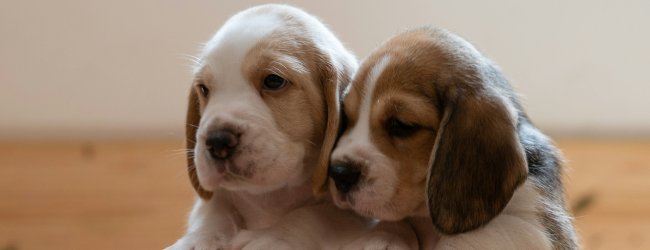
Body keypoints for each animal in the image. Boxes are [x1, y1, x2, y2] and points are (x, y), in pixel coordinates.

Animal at [165, 4, 356, 250]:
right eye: (204, 89)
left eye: (274, 81)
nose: (217, 140)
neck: (268, 199)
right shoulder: (217, 202)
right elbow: (215, 210)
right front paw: (199, 240)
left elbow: (312, 214)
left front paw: (271, 238)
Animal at [316, 26, 576, 249]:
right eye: (347, 117)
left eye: (401, 125)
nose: (339, 173)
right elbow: (395, 226)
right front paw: (381, 240)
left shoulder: (532, 223)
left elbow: (480, 236)